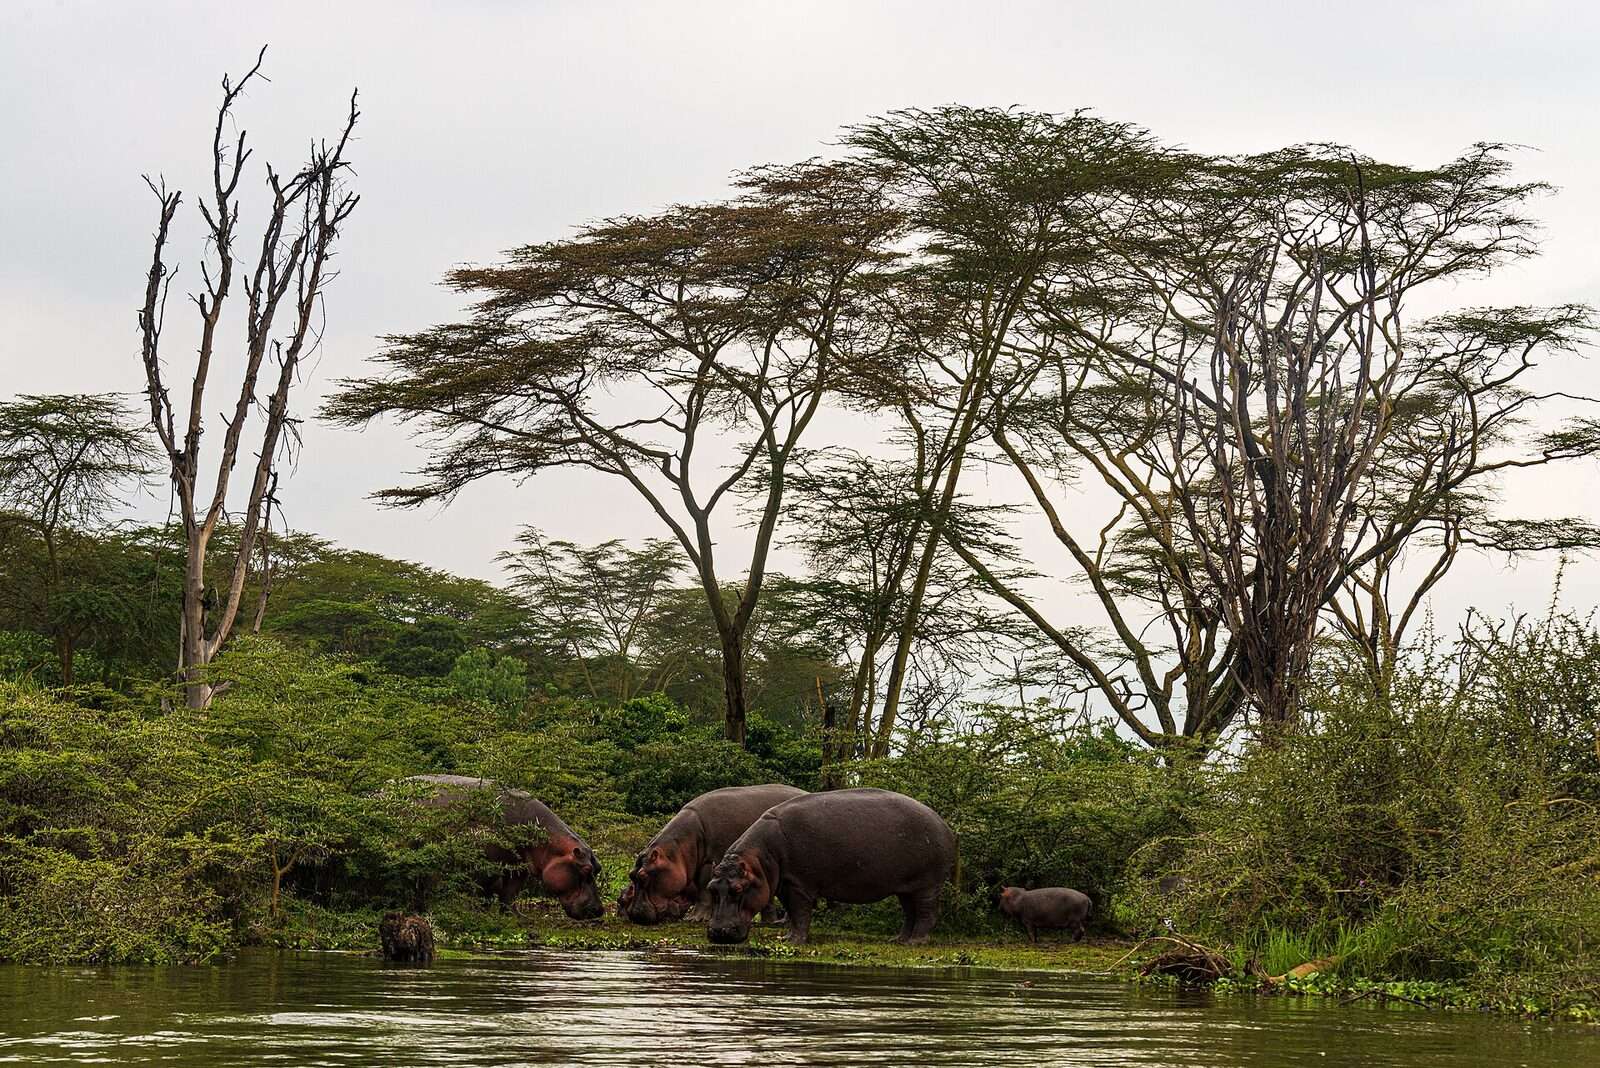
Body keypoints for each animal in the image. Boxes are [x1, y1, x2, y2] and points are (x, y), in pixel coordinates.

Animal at [400, 774, 604, 920]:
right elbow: (484, 889)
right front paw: (479, 912)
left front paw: (517, 917)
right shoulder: (487, 863)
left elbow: (510, 893)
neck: (548, 841)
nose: (599, 910)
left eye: (598, 868)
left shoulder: (520, 867)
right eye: (586, 869)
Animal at [620, 783, 807, 925]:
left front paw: (694, 919)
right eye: (631, 874)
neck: (677, 850)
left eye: (643, 875)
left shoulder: (710, 861)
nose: (634, 915)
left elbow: (703, 888)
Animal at [705, 788, 956, 946]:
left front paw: (795, 942)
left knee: (926, 913)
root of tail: (943, 823)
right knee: (909, 913)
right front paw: (786, 938)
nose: (718, 932)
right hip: (906, 887)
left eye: (738, 889)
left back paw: (915, 942)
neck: (760, 859)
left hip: (927, 885)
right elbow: (793, 914)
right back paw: (899, 940)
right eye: (711, 888)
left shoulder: (799, 884)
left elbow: (800, 913)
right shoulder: (785, 884)